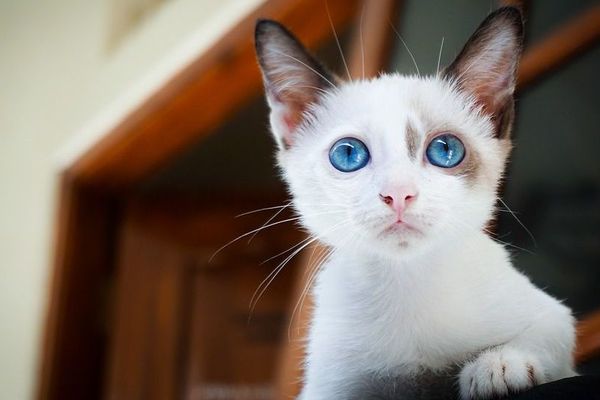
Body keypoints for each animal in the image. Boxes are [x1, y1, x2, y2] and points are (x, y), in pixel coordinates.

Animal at [253, 7, 576, 400]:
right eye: (348, 154)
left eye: (445, 150)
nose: (398, 194)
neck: (406, 282)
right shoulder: (329, 387)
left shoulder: (553, 316)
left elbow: (549, 336)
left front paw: (499, 366)